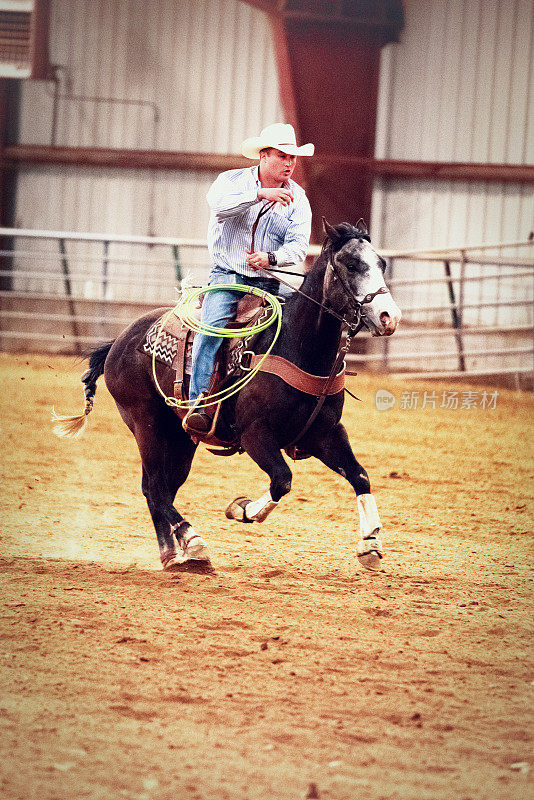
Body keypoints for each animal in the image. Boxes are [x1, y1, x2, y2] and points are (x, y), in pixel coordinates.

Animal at [54, 220, 404, 576]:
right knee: (154, 487)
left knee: (163, 487)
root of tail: (119, 341)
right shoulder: (255, 434)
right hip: (145, 424)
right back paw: (193, 544)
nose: (389, 317)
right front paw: (243, 509)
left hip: (180, 437)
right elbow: (282, 480)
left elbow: (360, 476)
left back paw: (175, 554)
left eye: (381, 263)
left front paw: (370, 544)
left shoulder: (325, 434)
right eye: (352, 265)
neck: (298, 346)